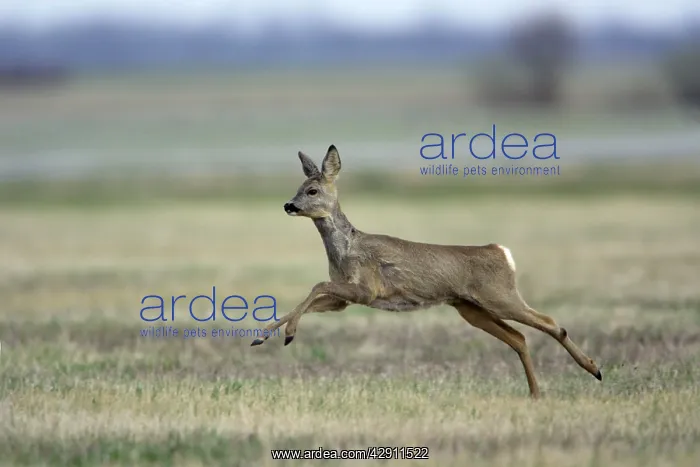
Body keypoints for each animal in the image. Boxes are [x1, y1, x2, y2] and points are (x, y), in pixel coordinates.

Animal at [250, 144, 602, 398]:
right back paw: (536, 393)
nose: (289, 205)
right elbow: (313, 294)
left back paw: (594, 369)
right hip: (470, 307)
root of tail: (502, 253)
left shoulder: (366, 288)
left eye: (312, 191)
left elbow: (317, 285)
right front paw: (263, 336)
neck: (346, 249)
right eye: (299, 187)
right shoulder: (344, 300)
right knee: (518, 337)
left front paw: (288, 334)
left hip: (499, 296)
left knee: (551, 323)